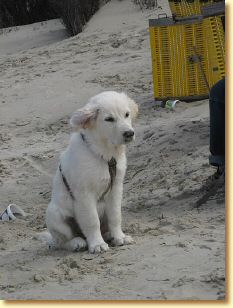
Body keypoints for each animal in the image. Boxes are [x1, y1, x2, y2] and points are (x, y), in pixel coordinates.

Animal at [45, 91, 138, 253]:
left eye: (127, 114)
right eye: (109, 119)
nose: (129, 133)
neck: (104, 153)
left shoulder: (116, 188)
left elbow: (116, 215)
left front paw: (120, 237)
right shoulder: (84, 194)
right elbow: (92, 221)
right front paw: (97, 244)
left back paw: (109, 235)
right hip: (54, 214)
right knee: (62, 241)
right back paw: (77, 243)